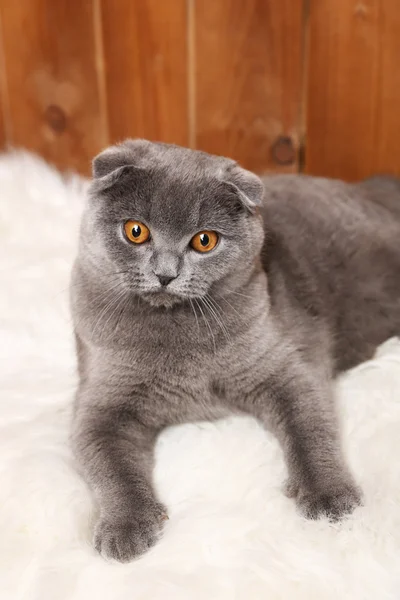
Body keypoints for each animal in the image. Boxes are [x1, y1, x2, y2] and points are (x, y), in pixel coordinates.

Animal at [70, 139, 400, 564]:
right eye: (136, 231)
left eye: (204, 240)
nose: (165, 274)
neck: (178, 339)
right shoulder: (100, 400)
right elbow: (107, 461)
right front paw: (127, 528)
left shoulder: (287, 367)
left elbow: (310, 429)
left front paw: (329, 496)